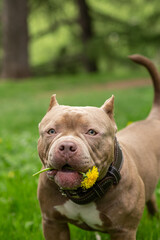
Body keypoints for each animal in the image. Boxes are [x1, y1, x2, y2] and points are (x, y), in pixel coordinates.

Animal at [36, 54, 160, 240]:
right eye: (51, 131)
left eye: (91, 132)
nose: (66, 146)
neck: (81, 195)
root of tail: (152, 119)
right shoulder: (53, 223)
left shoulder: (123, 231)